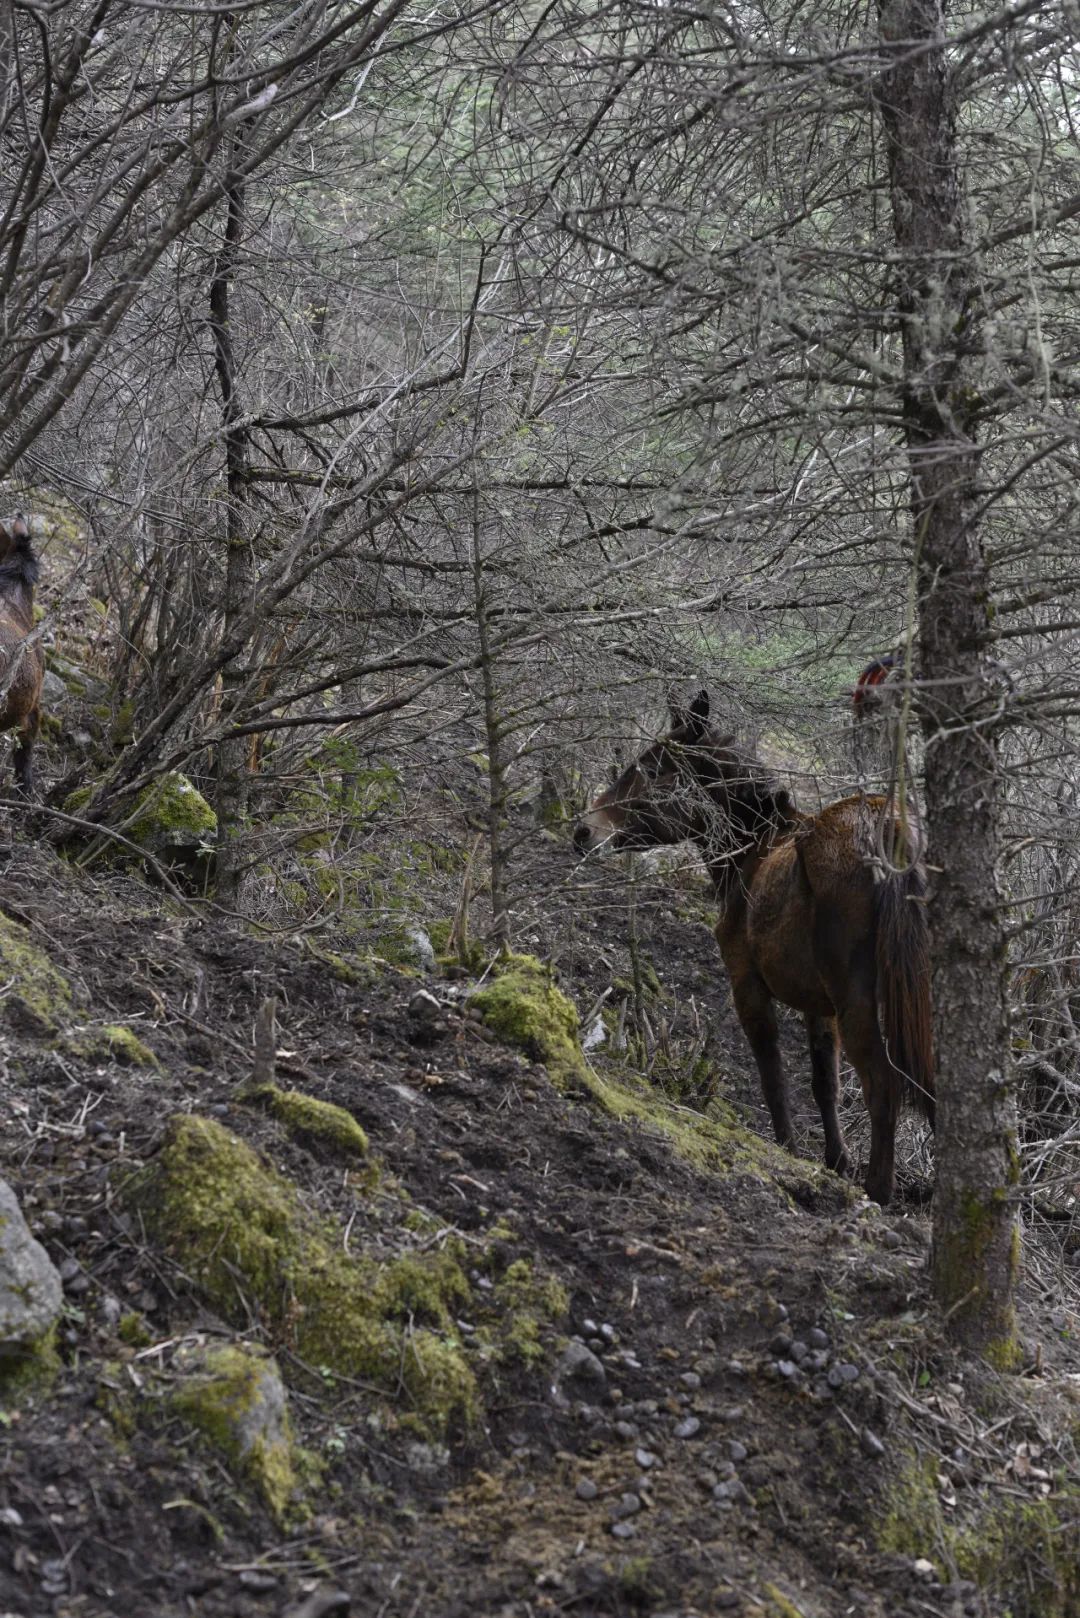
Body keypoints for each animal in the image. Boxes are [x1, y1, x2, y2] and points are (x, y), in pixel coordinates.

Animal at [573, 691, 934, 1204]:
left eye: (654, 767)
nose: (585, 830)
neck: (756, 847)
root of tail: (886, 830)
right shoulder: (818, 1005)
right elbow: (824, 1080)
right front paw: (835, 1160)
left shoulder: (747, 983)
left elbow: (772, 1070)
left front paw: (789, 1147)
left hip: (860, 1003)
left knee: (883, 1085)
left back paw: (878, 1191)